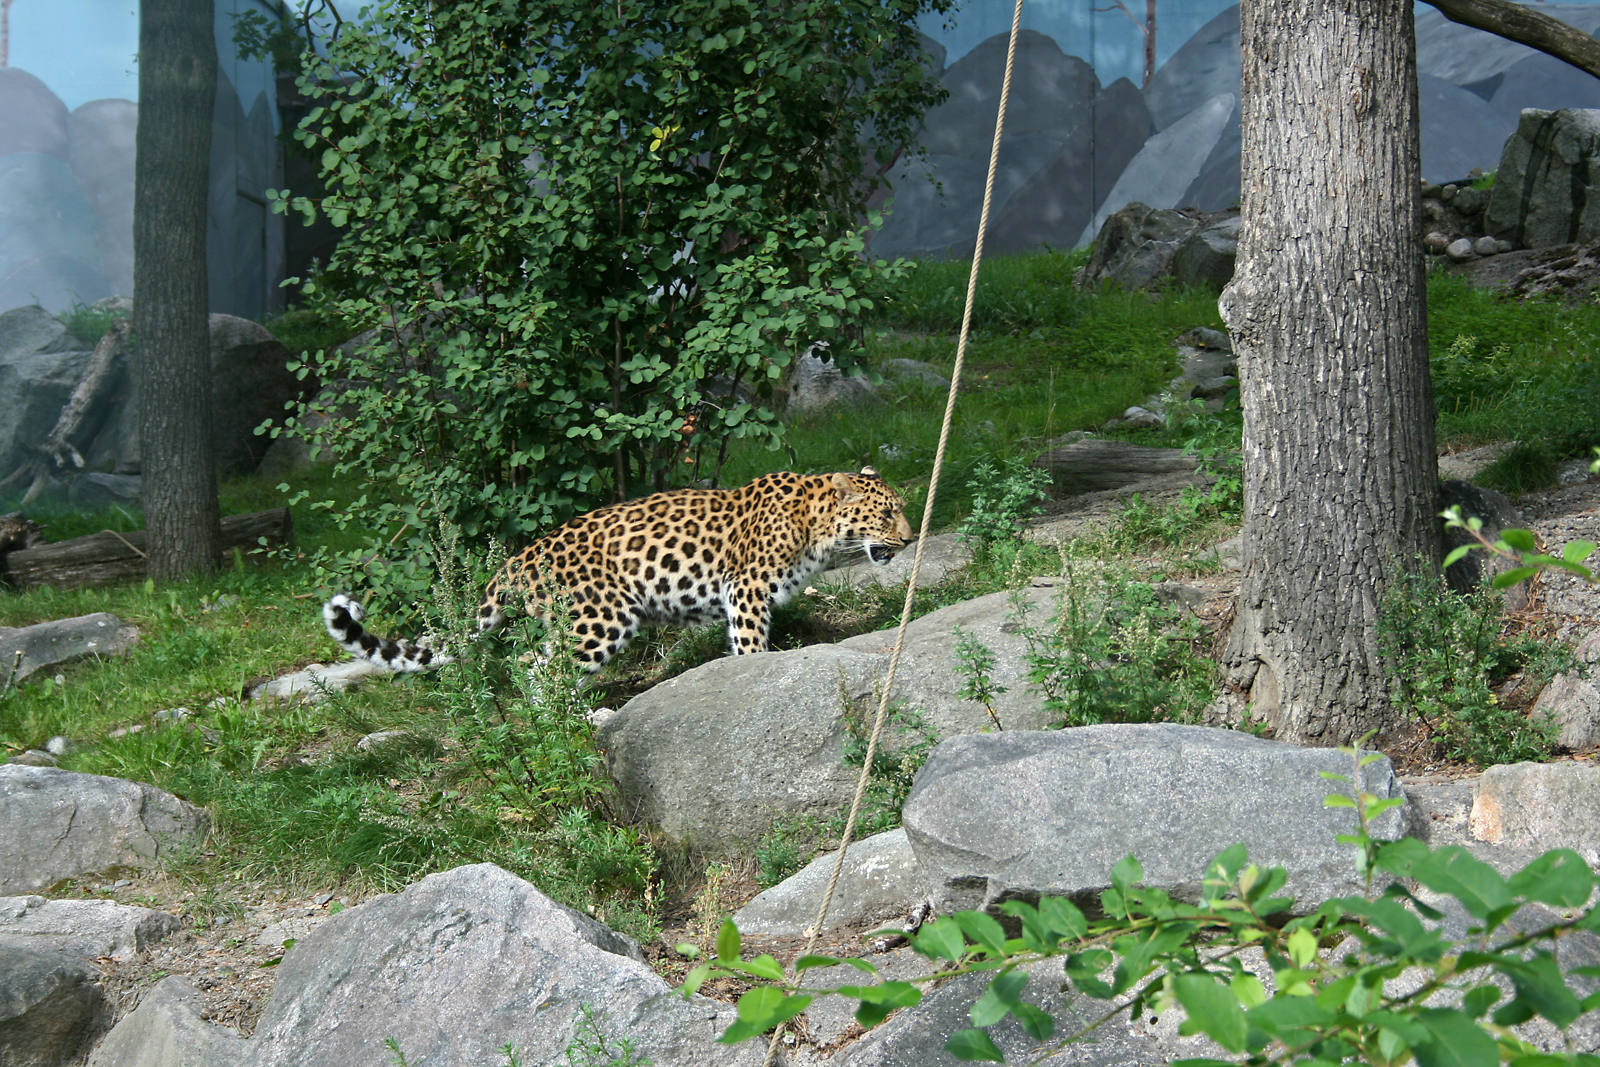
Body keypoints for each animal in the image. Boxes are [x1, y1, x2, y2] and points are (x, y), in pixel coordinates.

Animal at [322, 466, 913, 673]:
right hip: (601, 620)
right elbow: (750, 644)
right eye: (886, 513)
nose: (910, 538)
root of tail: (520, 557)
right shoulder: (745, 590)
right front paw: (755, 672)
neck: (816, 529)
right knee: (541, 671)